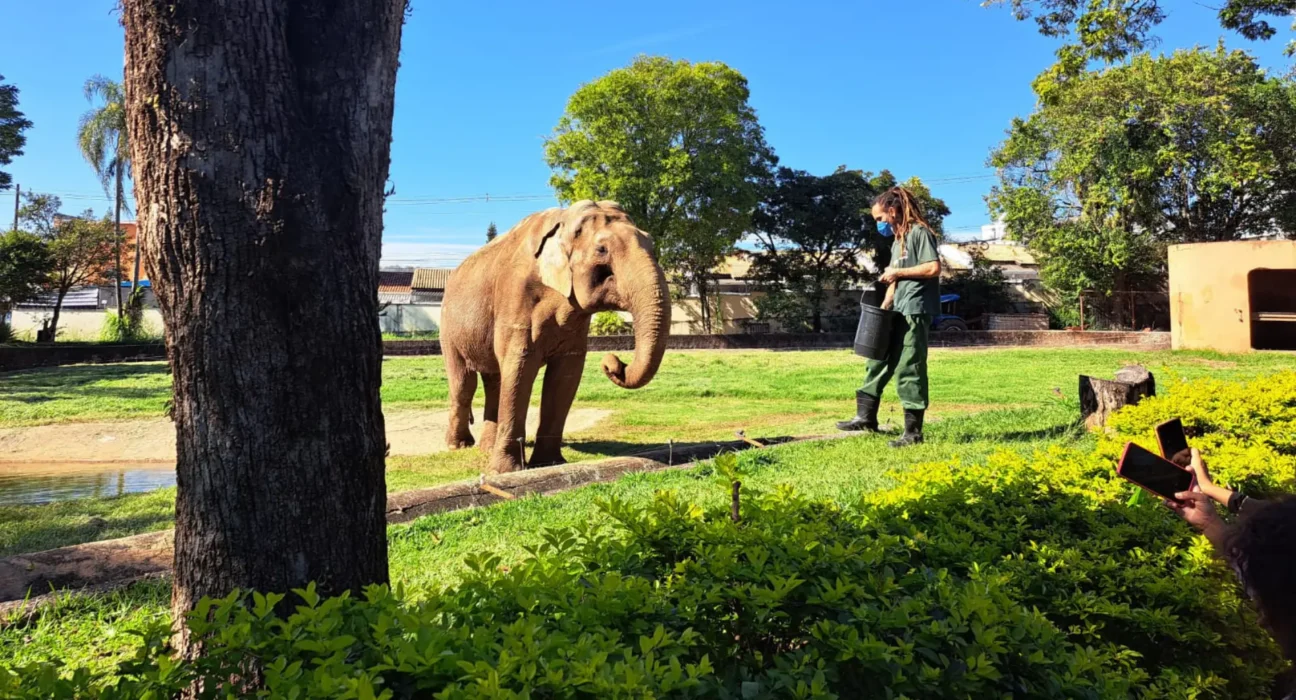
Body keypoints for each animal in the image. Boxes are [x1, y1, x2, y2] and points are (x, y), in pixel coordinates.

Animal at [439, 200, 671, 474]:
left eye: (651, 243)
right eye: (602, 249)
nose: (612, 362)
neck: (564, 219)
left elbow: (565, 376)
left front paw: (549, 463)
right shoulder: (515, 298)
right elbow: (519, 368)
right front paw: (505, 472)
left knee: (494, 382)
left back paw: (486, 448)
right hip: (448, 329)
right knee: (464, 384)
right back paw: (459, 446)